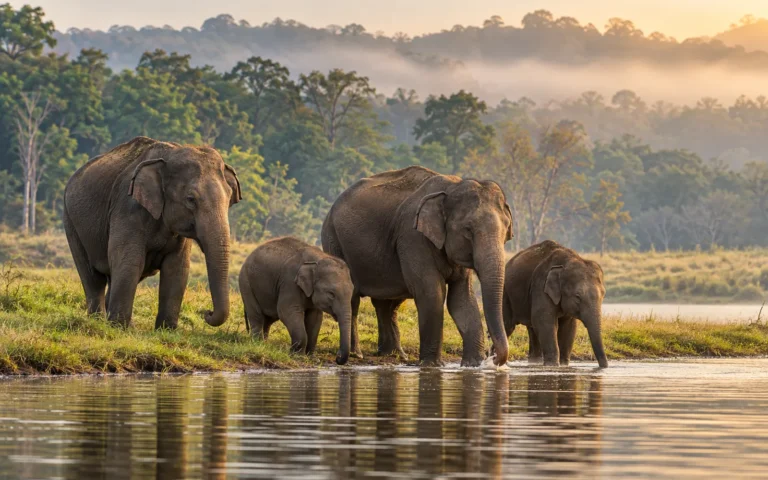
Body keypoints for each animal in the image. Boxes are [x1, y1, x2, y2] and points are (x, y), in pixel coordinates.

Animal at [63, 136, 241, 328]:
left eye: (229, 199)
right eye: (190, 199)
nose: (206, 312)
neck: (170, 154)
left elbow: (177, 267)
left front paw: (167, 329)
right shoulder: (128, 208)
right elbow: (130, 261)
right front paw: (120, 327)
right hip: (71, 222)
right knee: (92, 276)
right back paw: (98, 321)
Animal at [238, 237, 353, 365]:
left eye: (352, 292)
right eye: (331, 294)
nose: (338, 356)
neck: (318, 259)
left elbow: (315, 318)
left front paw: (312, 358)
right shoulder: (289, 282)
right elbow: (286, 311)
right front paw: (297, 356)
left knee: (267, 320)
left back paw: (264, 345)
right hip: (246, 283)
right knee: (256, 316)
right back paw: (258, 344)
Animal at [322, 166, 513, 367]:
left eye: (506, 230)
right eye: (468, 230)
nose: (493, 358)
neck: (451, 187)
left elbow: (462, 299)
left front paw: (473, 365)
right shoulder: (412, 237)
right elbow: (432, 293)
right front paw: (432, 365)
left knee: (387, 303)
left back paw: (395, 355)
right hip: (333, 241)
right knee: (353, 298)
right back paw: (356, 354)